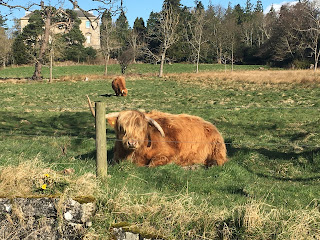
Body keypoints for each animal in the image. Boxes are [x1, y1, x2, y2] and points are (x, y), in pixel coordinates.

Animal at [87, 95, 228, 167]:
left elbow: (151, 164)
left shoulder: (170, 154)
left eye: (142, 129)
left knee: (218, 161)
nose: (131, 143)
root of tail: (211, 125)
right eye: (122, 128)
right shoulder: (116, 156)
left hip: (217, 149)